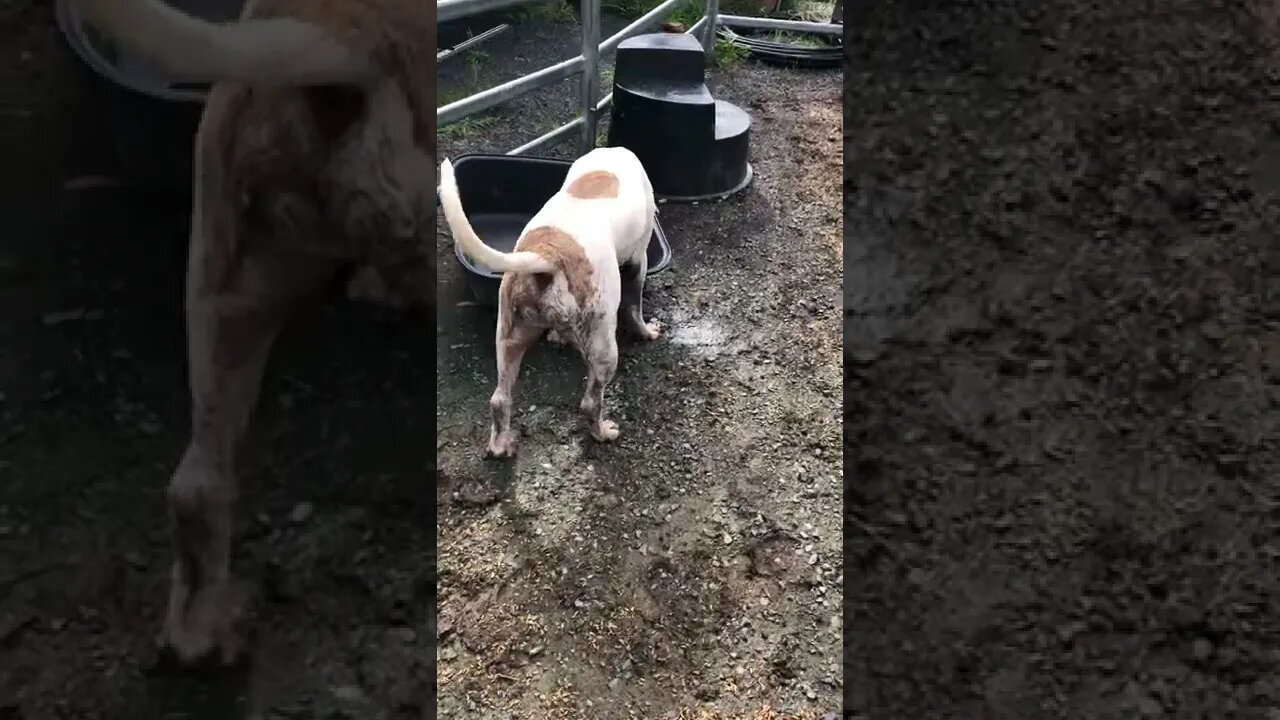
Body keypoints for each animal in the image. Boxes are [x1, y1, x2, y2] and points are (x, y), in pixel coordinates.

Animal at [437, 147, 660, 453]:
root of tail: (547, 255)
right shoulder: (639, 260)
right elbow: (636, 306)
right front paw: (647, 332)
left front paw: (558, 336)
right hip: (603, 349)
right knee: (590, 403)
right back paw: (603, 433)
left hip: (509, 340)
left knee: (499, 399)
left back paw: (500, 446)